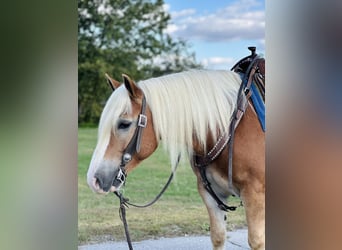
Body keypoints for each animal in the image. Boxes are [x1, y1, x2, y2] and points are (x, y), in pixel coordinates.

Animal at [87, 69, 266, 250]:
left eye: (124, 124)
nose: (93, 179)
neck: (230, 129)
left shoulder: (254, 195)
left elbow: (256, 241)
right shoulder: (212, 194)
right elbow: (218, 236)